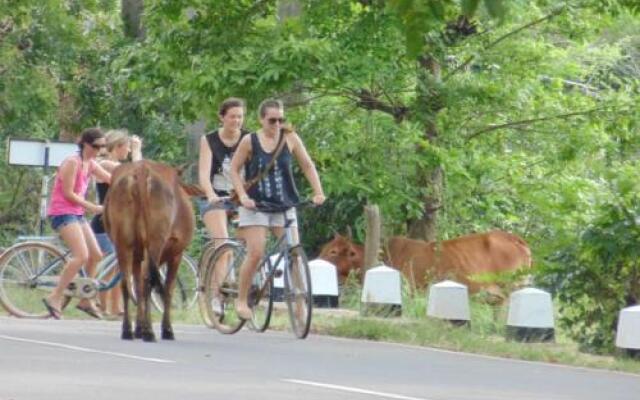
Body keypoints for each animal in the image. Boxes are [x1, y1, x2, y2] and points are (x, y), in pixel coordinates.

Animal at [104, 159, 202, 340]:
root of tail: (142, 171)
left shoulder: (138, 254)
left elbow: (138, 286)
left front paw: (139, 327)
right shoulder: (176, 254)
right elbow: (168, 289)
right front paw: (165, 329)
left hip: (123, 243)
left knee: (126, 283)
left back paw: (128, 330)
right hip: (155, 242)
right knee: (149, 280)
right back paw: (149, 332)